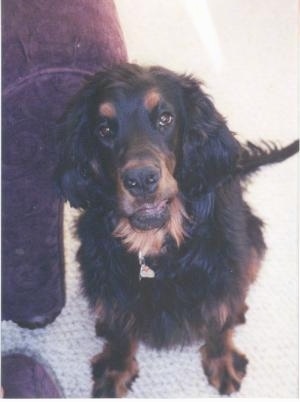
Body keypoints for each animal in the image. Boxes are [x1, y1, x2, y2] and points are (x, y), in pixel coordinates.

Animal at [55, 62, 298, 396]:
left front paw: (223, 362)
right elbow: (119, 327)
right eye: (103, 129)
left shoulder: (220, 272)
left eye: (165, 118)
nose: (141, 180)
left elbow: (219, 321)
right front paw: (116, 369)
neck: (155, 243)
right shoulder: (107, 278)